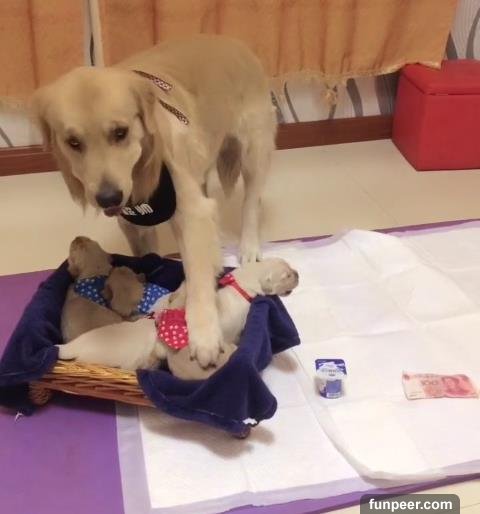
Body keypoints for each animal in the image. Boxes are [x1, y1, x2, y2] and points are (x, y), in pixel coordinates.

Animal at [32, 35, 277, 368]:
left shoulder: (191, 213)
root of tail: (232, 40)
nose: (108, 197)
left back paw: (250, 247)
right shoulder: (132, 220)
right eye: (73, 142)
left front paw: (204, 335)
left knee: (252, 200)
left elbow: (198, 277)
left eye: (120, 132)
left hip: (253, 147)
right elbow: (147, 255)